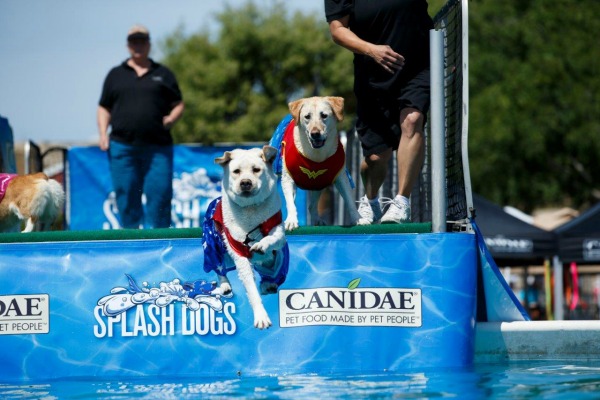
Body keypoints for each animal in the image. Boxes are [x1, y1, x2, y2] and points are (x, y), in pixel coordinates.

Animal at [203, 145, 290, 330]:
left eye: (256, 170)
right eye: (236, 171)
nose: (245, 183)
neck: (251, 210)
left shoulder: (278, 232)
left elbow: (273, 239)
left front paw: (261, 245)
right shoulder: (238, 252)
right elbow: (250, 287)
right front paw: (261, 316)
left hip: (279, 260)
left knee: (272, 271)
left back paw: (268, 283)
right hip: (211, 244)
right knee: (218, 267)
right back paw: (225, 285)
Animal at [278, 95, 368, 230]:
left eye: (324, 115)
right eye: (307, 116)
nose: (315, 134)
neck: (316, 154)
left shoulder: (341, 177)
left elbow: (349, 199)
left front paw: (358, 219)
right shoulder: (287, 179)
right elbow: (290, 203)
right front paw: (291, 221)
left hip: (318, 184)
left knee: (312, 206)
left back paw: (317, 220)